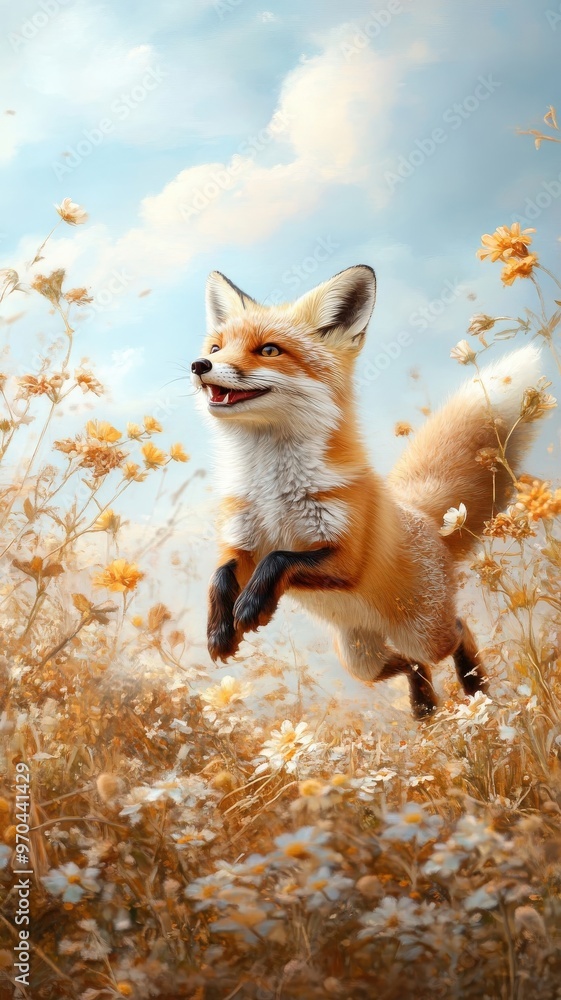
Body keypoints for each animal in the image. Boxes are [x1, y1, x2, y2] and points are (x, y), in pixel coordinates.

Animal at [190, 265, 543, 717]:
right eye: (216, 347)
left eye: (269, 350)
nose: (199, 364)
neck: (273, 491)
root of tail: (426, 518)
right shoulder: (242, 541)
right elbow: (220, 575)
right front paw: (219, 630)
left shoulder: (346, 556)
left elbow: (279, 559)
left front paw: (251, 605)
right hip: (360, 659)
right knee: (411, 664)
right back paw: (424, 707)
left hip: (423, 634)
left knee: (457, 634)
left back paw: (475, 692)